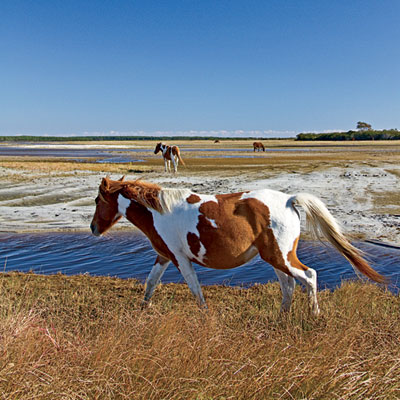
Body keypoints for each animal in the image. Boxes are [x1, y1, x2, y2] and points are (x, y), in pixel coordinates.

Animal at [90, 177, 384, 314]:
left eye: (96, 200)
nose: (93, 228)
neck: (159, 211)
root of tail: (289, 199)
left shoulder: (180, 260)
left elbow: (195, 290)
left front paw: (205, 317)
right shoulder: (164, 256)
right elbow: (151, 283)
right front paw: (142, 309)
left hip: (281, 257)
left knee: (309, 276)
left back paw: (314, 315)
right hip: (276, 257)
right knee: (288, 285)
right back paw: (282, 316)